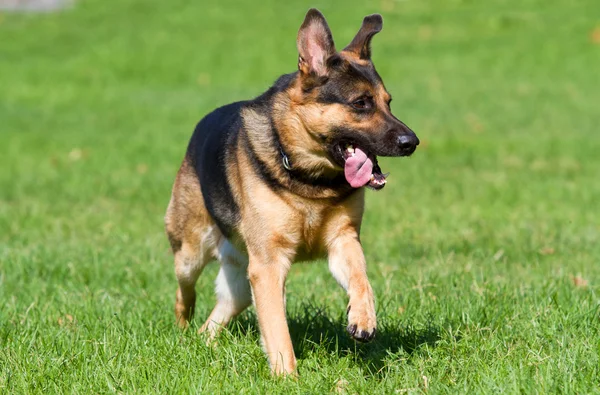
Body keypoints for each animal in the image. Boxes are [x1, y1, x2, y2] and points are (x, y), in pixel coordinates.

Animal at [163, 7, 418, 376]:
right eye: (361, 103)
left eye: (388, 102)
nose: (412, 142)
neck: (311, 180)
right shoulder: (269, 267)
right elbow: (277, 329)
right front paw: (287, 377)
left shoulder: (343, 241)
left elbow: (362, 279)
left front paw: (363, 319)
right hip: (191, 252)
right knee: (184, 294)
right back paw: (183, 330)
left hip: (240, 277)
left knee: (224, 308)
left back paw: (203, 343)